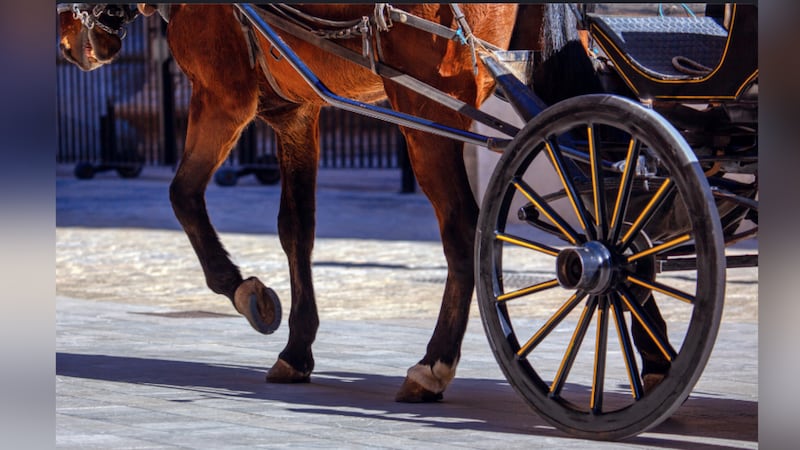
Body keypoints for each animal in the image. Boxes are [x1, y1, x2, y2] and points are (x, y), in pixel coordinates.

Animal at [58, 3, 671, 402]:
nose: (67, 42)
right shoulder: (295, 112)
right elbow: (296, 228)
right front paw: (297, 347)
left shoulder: (224, 96)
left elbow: (182, 194)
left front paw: (247, 293)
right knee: (617, 206)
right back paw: (656, 354)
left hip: (430, 109)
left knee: (464, 230)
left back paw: (433, 366)